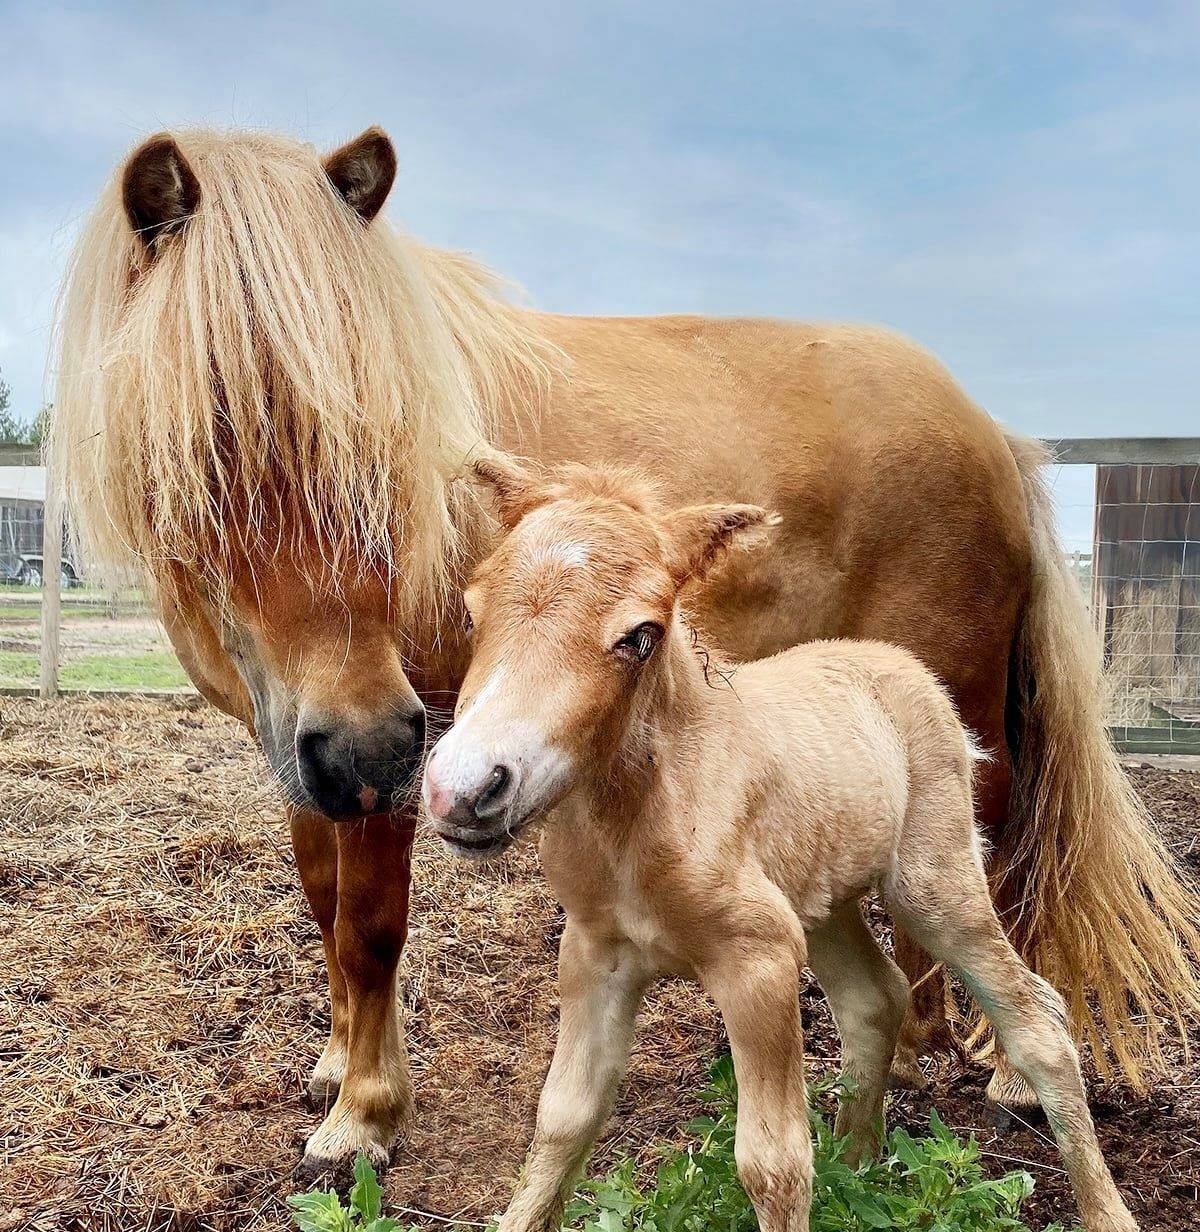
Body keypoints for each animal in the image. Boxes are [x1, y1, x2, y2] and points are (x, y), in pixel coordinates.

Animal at [426, 455, 1138, 1232]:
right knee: (874, 999)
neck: (639, 826)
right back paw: (857, 1168)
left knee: (1038, 1019)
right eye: (472, 611)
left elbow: (772, 1165)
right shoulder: (595, 952)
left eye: (640, 635)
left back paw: (1106, 1208)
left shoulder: (758, 958)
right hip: (822, 900)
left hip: (936, 881)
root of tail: (899, 662)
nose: (464, 789)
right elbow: (564, 1118)